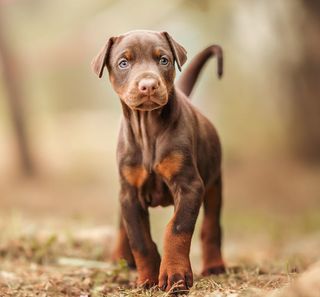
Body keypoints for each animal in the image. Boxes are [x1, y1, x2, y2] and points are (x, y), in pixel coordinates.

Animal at [92, 30, 225, 292]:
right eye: (123, 63)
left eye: (163, 60)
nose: (148, 85)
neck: (148, 128)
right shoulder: (130, 193)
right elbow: (139, 239)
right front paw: (147, 279)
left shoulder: (190, 185)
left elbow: (177, 229)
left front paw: (175, 276)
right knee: (123, 227)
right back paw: (121, 258)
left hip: (215, 182)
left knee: (212, 226)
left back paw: (215, 264)